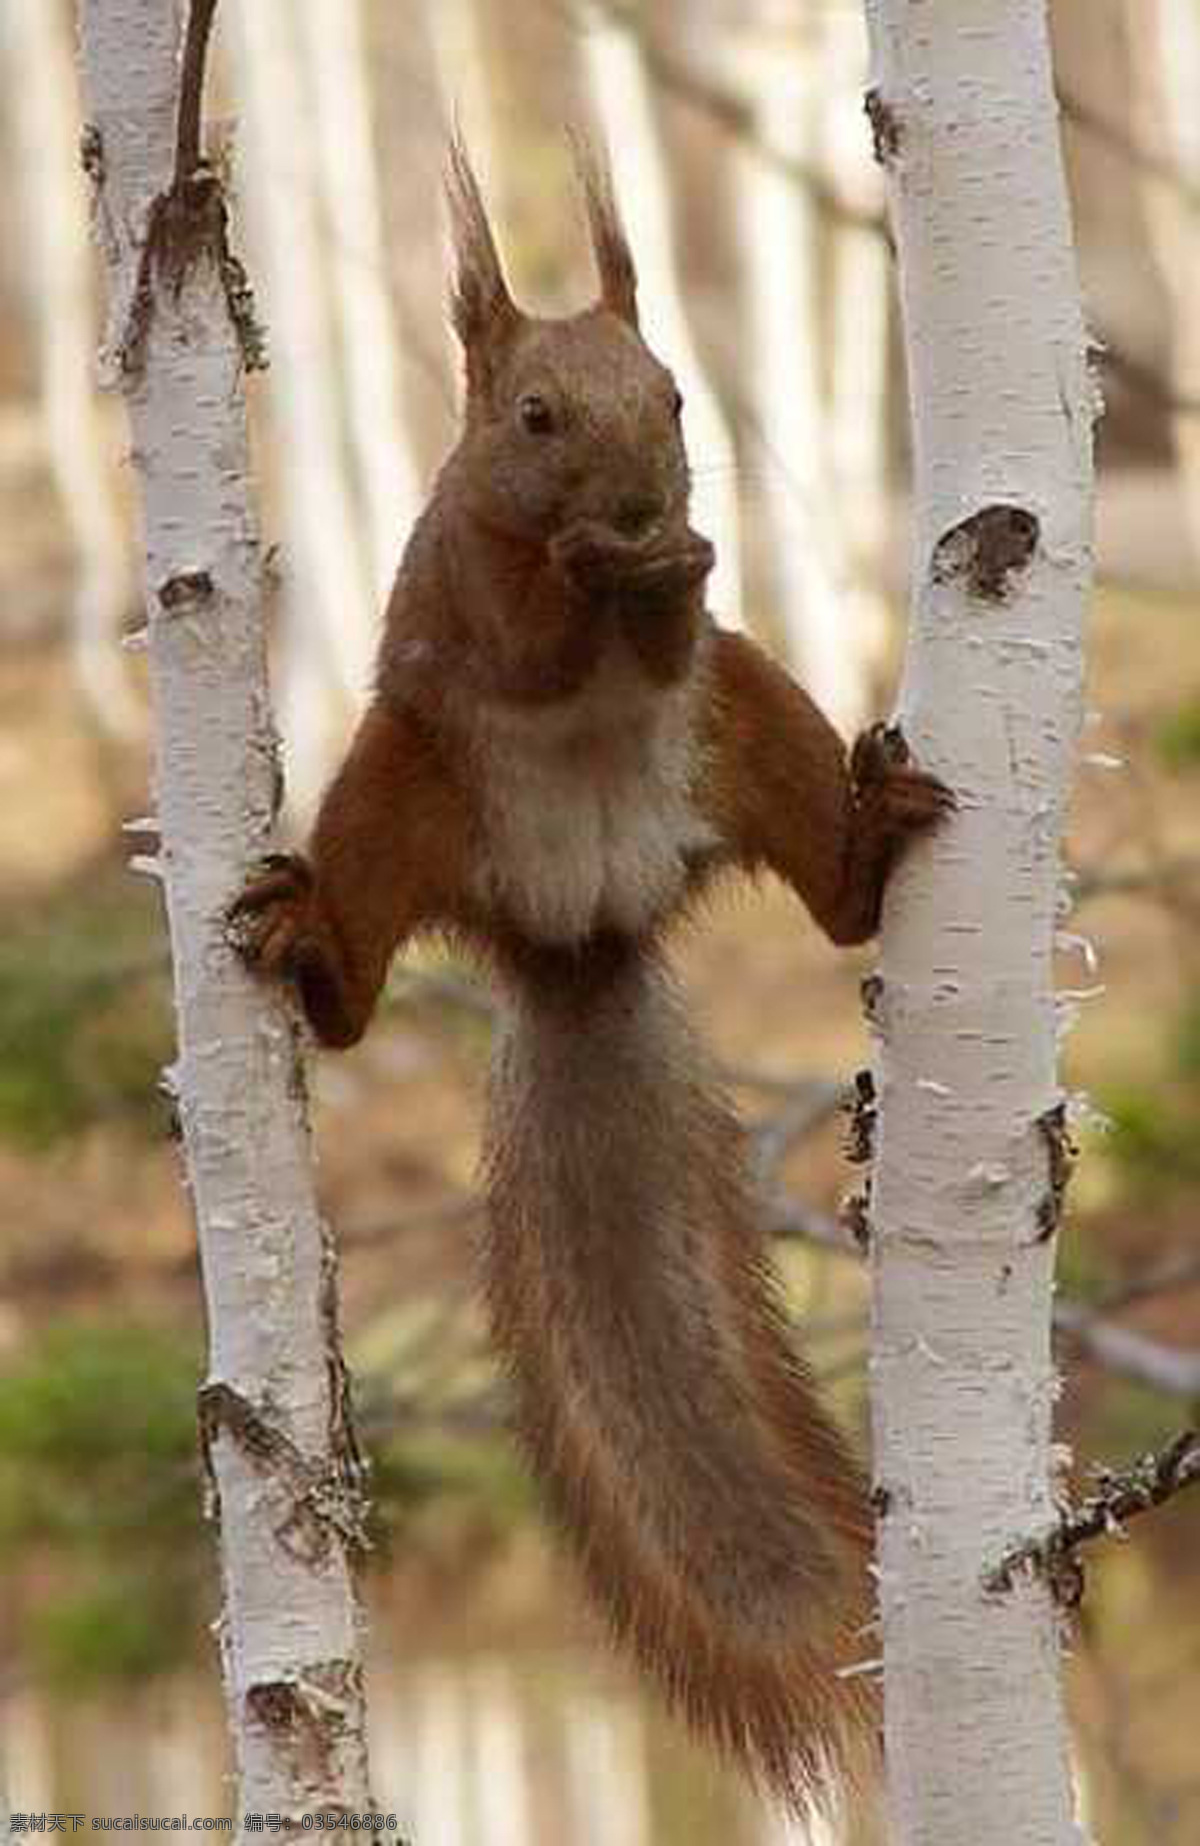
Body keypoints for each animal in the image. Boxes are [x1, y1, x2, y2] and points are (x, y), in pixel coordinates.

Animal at [228, 143, 945, 1816]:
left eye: (677, 398)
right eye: (534, 417)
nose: (637, 504)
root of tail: (581, 933)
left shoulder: (690, 646)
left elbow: (670, 629)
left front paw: (676, 562)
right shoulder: (466, 587)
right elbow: (531, 636)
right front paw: (592, 569)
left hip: (754, 722)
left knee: (831, 896)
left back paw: (876, 828)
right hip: (395, 797)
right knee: (352, 990)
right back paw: (309, 950)